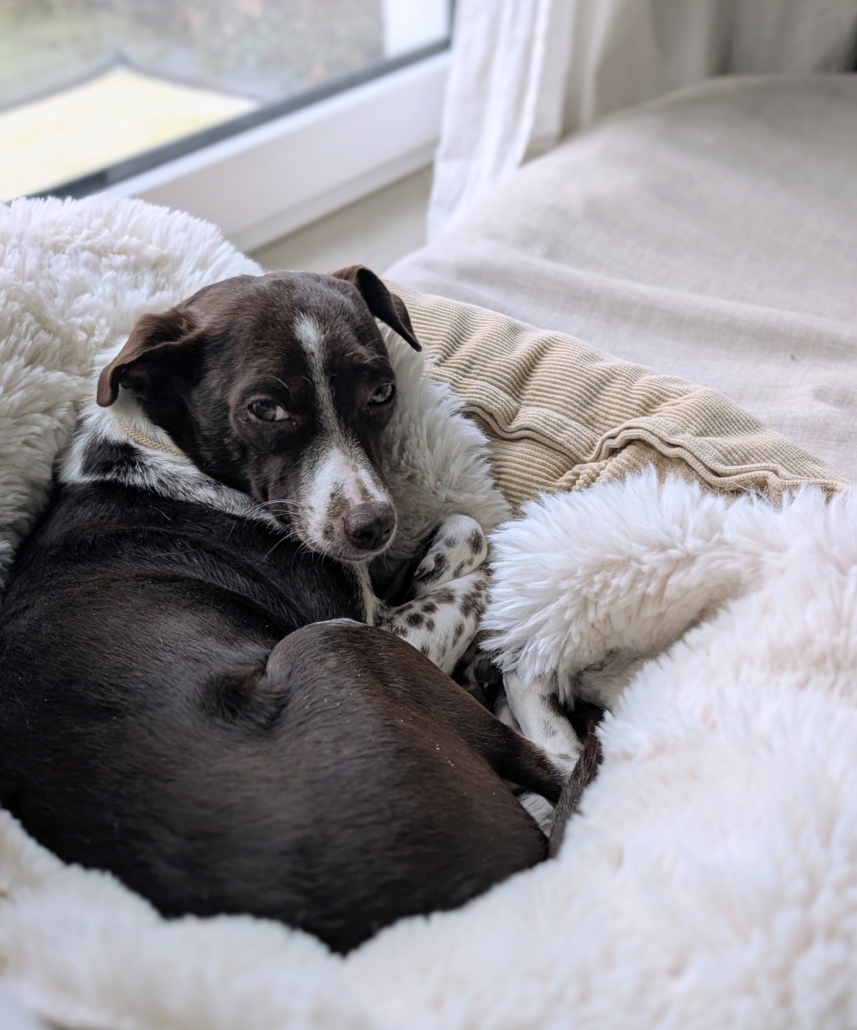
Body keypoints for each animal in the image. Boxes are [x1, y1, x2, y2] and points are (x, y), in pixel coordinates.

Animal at [0, 266, 564, 953]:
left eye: (381, 393)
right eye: (264, 408)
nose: (374, 527)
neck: (164, 453)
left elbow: (461, 530)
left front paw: (429, 561)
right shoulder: (379, 626)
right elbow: (486, 558)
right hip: (335, 643)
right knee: (557, 762)